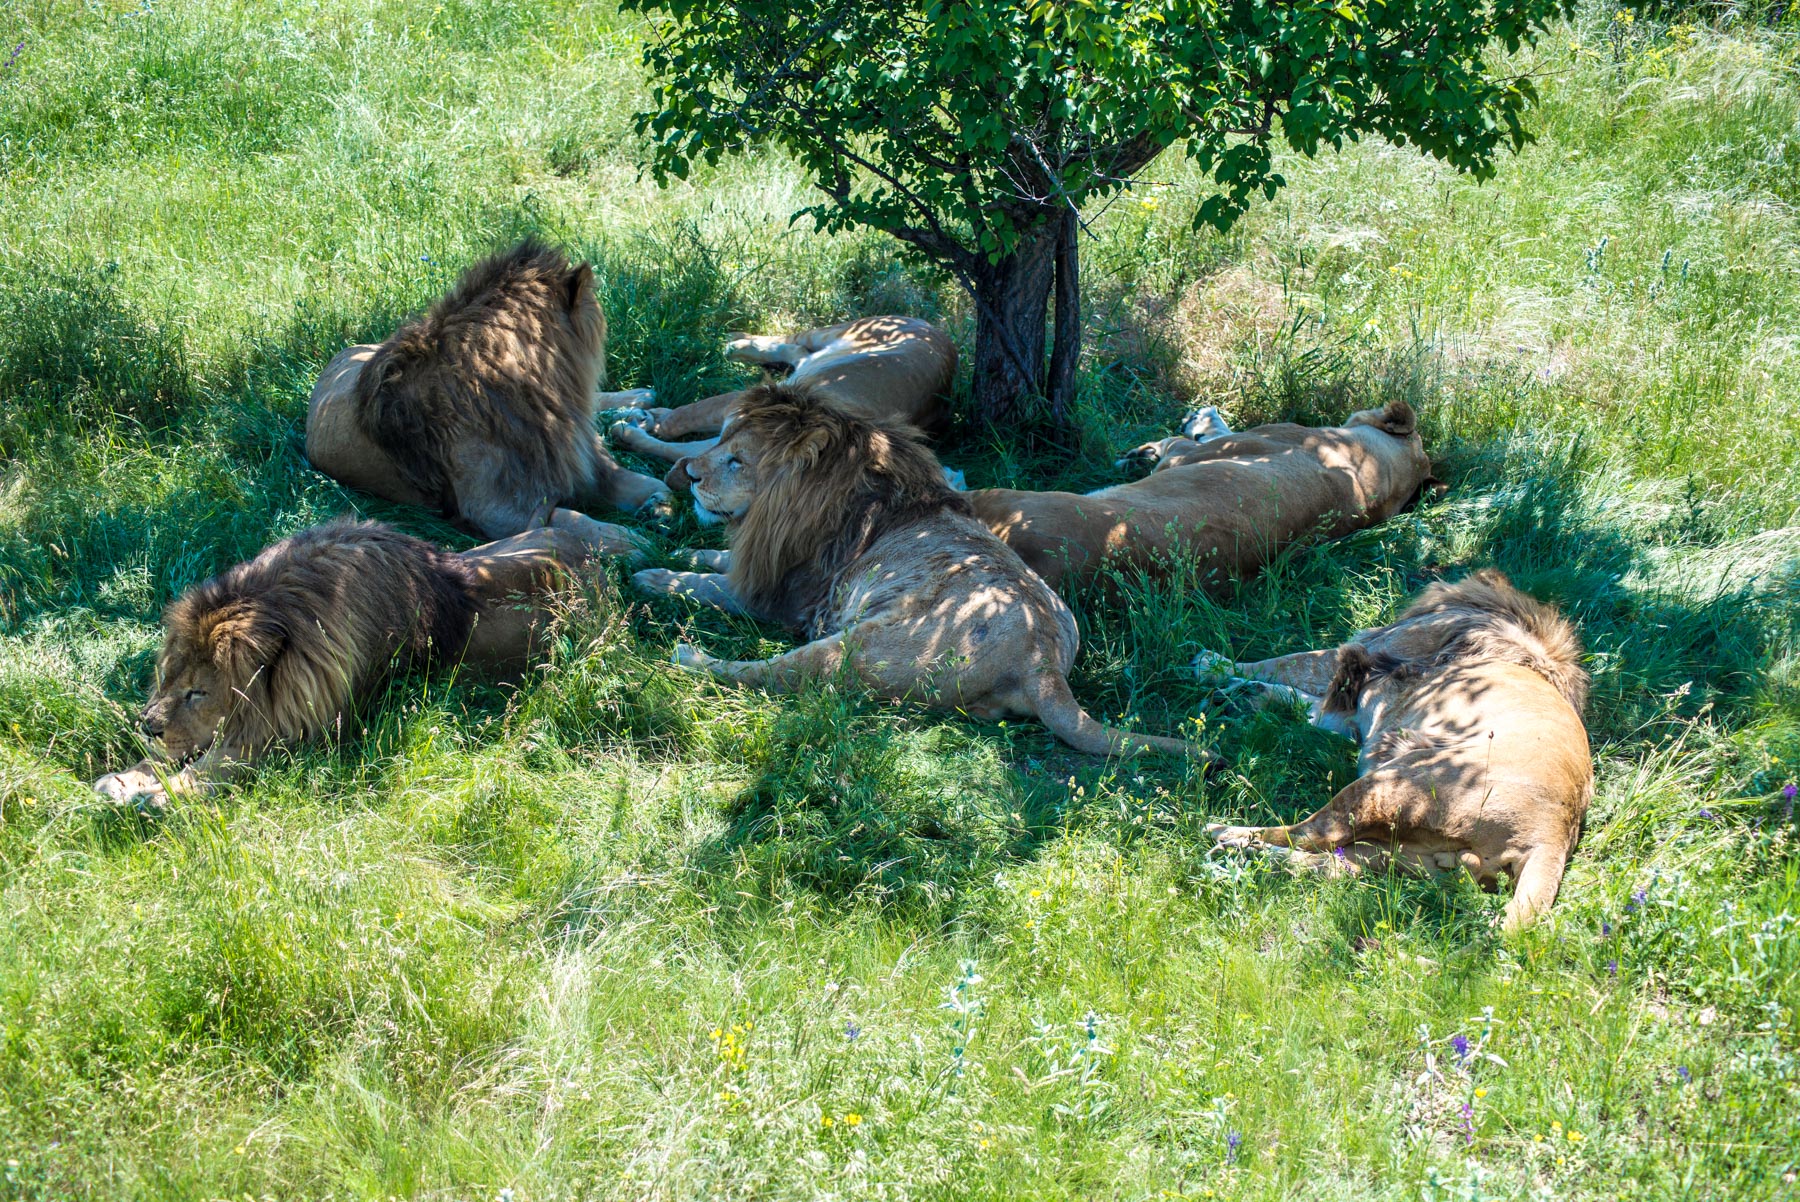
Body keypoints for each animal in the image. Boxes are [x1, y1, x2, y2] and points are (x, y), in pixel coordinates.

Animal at [92, 511, 642, 809]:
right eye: (167, 679)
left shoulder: (304, 738)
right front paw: (125, 779)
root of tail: (596, 565)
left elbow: (221, 763)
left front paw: (166, 794)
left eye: (198, 692)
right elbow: (170, 757)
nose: (146, 725)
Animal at [306, 239, 672, 539]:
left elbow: (648, 482)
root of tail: (337, 358)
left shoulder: (582, 459)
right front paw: (631, 541)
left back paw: (641, 397)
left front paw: (659, 506)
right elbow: (572, 520)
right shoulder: (496, 511)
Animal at [607, 315, 956, 471]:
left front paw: (632, 428)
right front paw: (645, 417)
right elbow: (684, 415)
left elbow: (678, 449)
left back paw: (732, 345)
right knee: (792, 339)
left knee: (794, 351)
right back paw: (727, 342)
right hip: (836, 332)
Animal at [630, 384, 1211, 761]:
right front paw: (666, 551)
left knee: (761, 676)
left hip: (854, 648)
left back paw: (688, 655)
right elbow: (712, 562)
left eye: (738, 461)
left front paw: (651, 575)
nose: (689, 474)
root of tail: (1042, 661)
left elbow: (707, 585)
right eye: (718, 441)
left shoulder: (779, 598)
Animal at [1198, 569, 1593, 931]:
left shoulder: (1367, 665)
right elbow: (1298, 696)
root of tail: (1554, 835)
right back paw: (1246, 855)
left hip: (1390, 783)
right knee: (1338, 864)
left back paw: (1225, 834)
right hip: (1411, 856)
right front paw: (1240, 690)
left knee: (1312, 834)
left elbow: (1294, 662)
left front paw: (1212, 664)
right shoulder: (1354, 711)